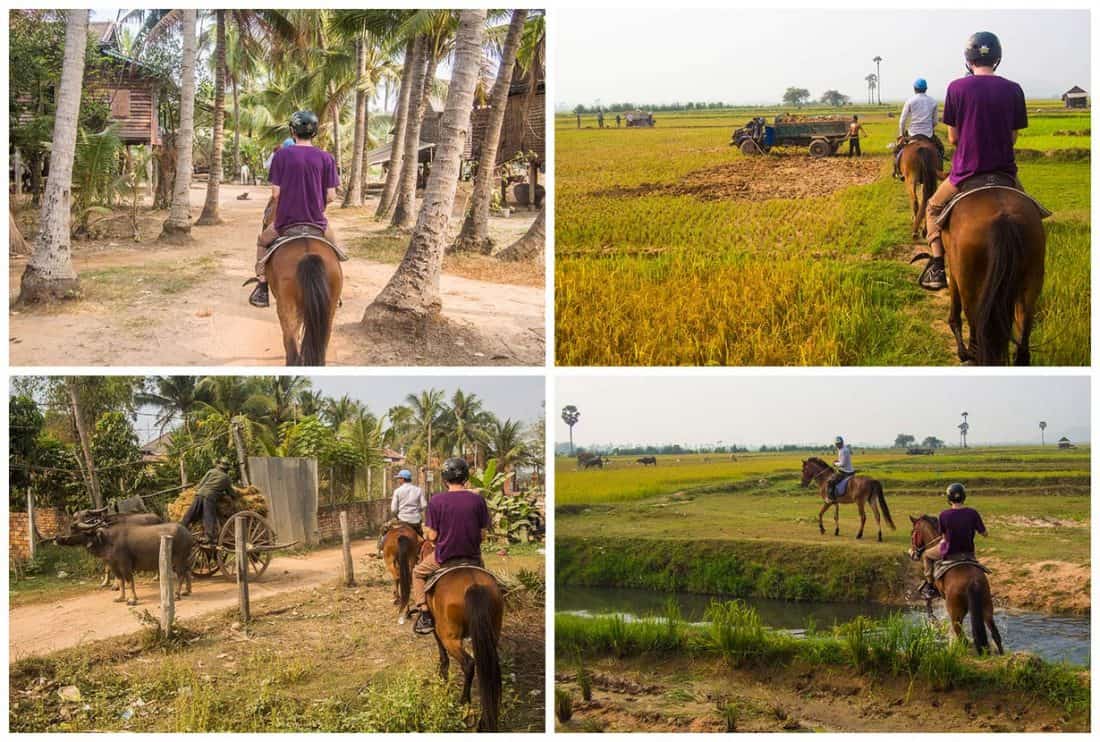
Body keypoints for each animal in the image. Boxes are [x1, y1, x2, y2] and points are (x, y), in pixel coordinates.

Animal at [55, 518, 192, 606]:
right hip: (184, 559)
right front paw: (120, 598)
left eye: (73, 529)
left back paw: (177, 594)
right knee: (187, 572)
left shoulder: (125, 565)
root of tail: (187, 533)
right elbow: (120, 581)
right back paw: (187, 591)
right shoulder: (113, 566)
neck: (107, 540)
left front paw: (132, 600)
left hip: (178, 559)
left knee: (181, 574)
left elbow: (129, 581)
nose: (57, 537)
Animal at [426, 562, 503, 729]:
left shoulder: (436, 625)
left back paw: (464, 705)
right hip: (492, 633)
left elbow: (441, 651)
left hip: (450, 637)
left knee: (468, 663)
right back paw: (484, 721)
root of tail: (474, 585)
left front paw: (442, 676)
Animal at [906, 514, 1003, 655]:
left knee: (962, 638)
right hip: (986, 608)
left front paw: (933, 620)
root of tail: (973, 581)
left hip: (955, 614)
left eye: (912, 533)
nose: (912, 553)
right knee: (996, 635)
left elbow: (928, 601)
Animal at [941, 186, 1042, 364]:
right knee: (1023, 339)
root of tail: (1004, 218)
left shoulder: (954, 270)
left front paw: (961, 353)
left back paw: (970, 357)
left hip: (970, 286)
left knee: (976, 333)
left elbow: (955, 308)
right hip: (1032, 282)